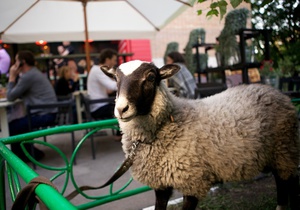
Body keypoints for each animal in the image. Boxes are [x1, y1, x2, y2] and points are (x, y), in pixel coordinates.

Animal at [101, 60, 300, 210]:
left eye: (150, 77)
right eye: (116, 78)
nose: (121, 109)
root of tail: (276, 92)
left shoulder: (193, 181)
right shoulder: (161, 185)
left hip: (283, 149)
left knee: (286, 182)